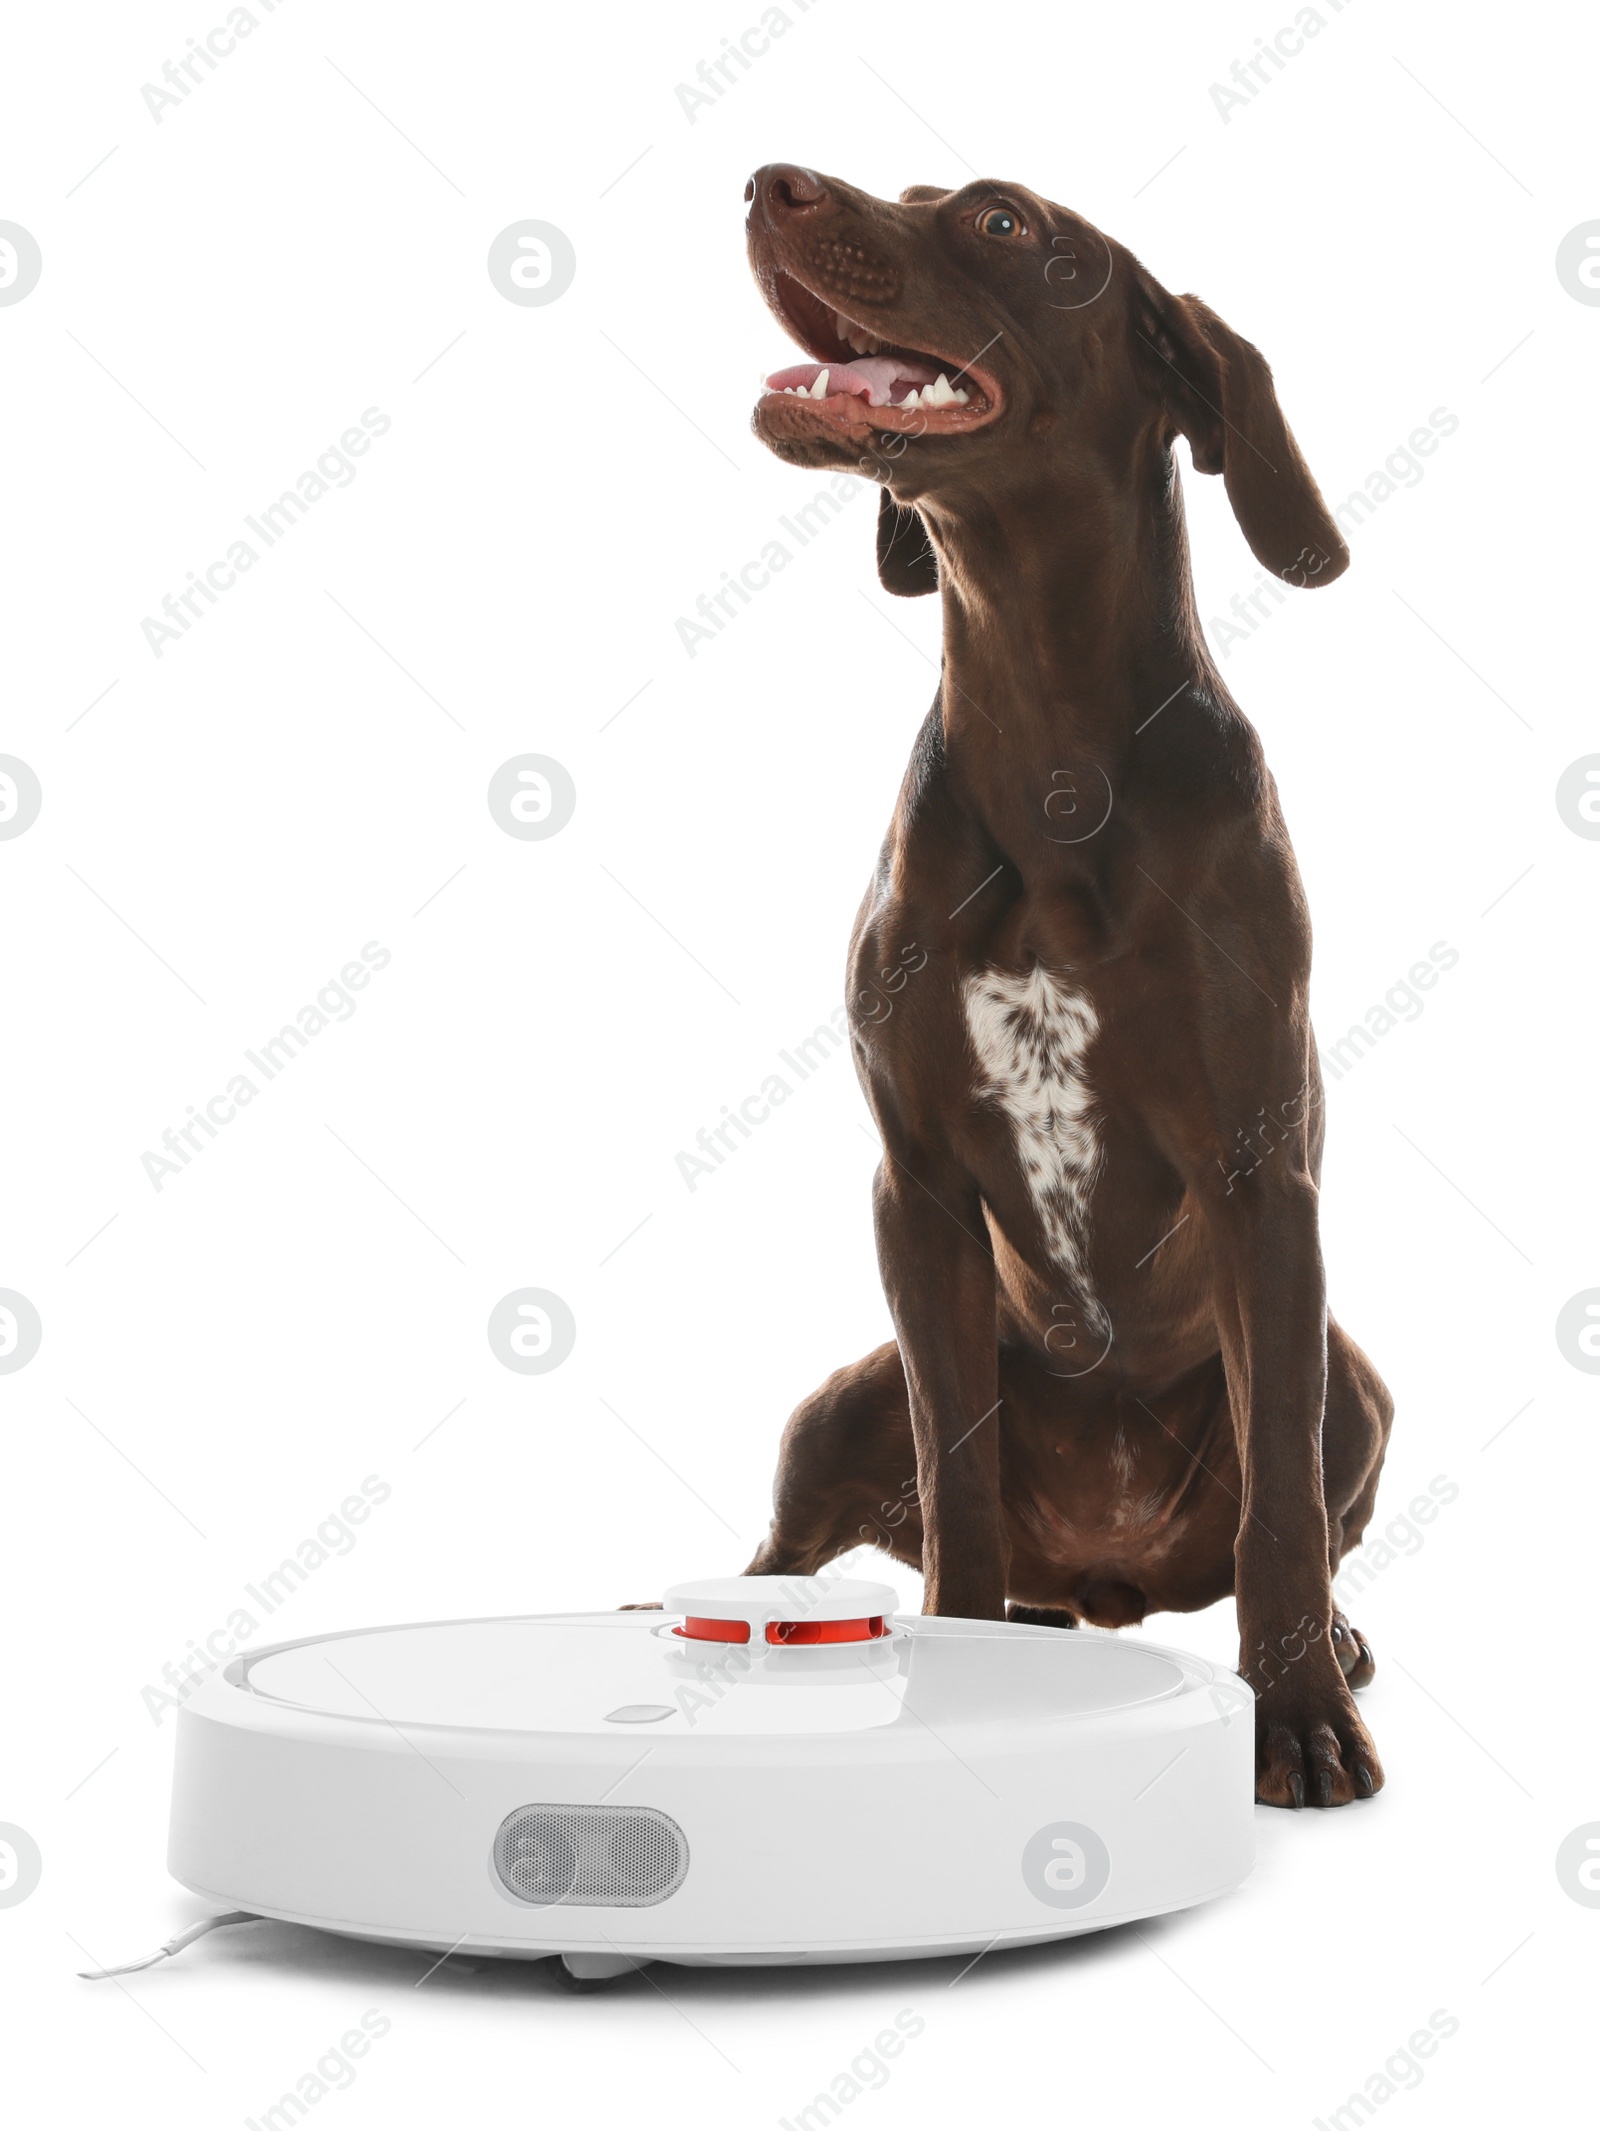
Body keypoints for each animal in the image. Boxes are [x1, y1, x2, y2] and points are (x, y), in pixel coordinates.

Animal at [745, 161, 1397, 1815]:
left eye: (999, 225)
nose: (768, 184)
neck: (1046, 742)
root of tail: (1105, 1577)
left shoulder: (1259, 1180)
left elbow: (1283, 1513)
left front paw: (1297, 1713)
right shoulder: (914, 1194)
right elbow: (959, 1481)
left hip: (1354, 1376)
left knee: (1308, 1505)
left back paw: (1337, 1641)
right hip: (843, 1390)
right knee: (798, 1542)